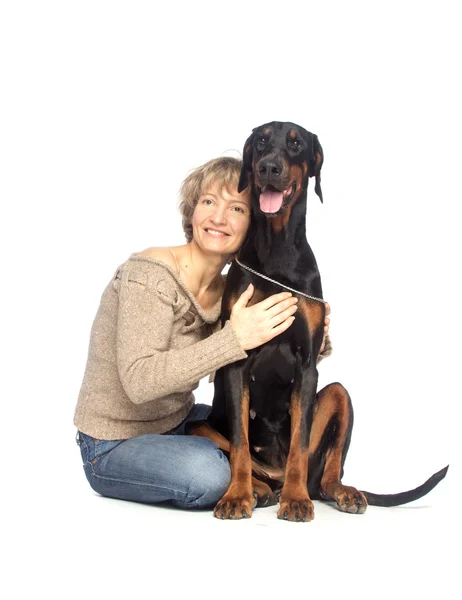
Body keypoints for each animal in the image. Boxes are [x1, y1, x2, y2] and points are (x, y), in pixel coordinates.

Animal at [188, 122, 448, 520]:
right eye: (261, 141)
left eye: (295, 144)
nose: (268, 167)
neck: (278, 250)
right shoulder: (237, 363)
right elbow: (240, 445)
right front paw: (236, 496)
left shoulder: (308, 364)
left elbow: (299, 442)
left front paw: (296, 500)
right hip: (200, 427)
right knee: (235, 450)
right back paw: (260, 489)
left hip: (338, 397)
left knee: (326, 472)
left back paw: (337, 492)